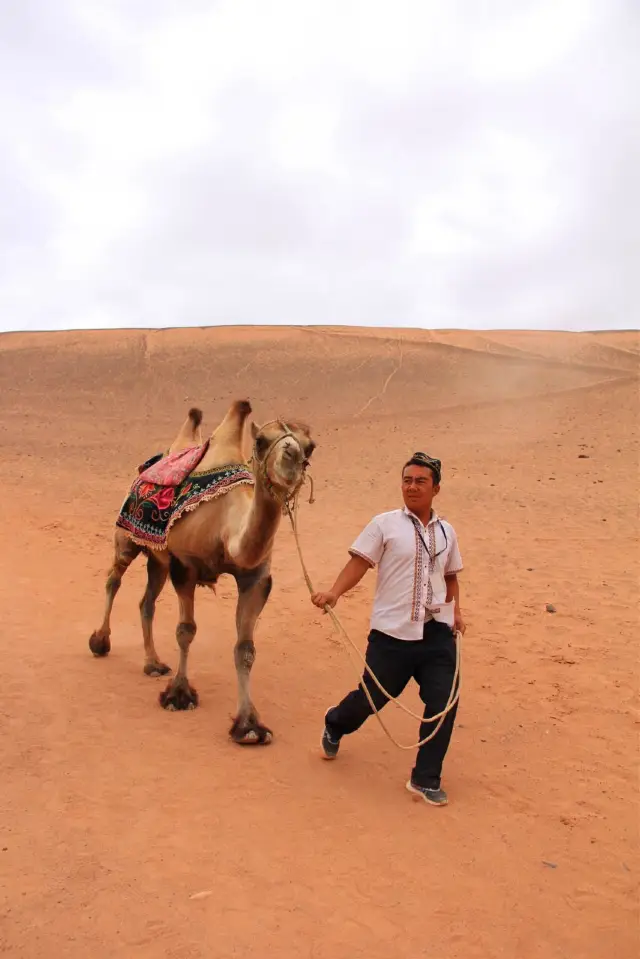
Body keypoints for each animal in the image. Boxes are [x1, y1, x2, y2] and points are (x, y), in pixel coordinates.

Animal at [88, 399, 316, 744]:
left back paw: (153, 663)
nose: (291, 459)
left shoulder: (256, 578)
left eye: (310, 446)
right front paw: (179, 696)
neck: (226, 529)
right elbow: (186, 630)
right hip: (127, 539)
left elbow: (245, 649)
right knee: (114, 579)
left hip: (158, 560)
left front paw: (249, 726)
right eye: (261, 441)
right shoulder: (186, 564)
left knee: (146, 602)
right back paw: (100, 642)